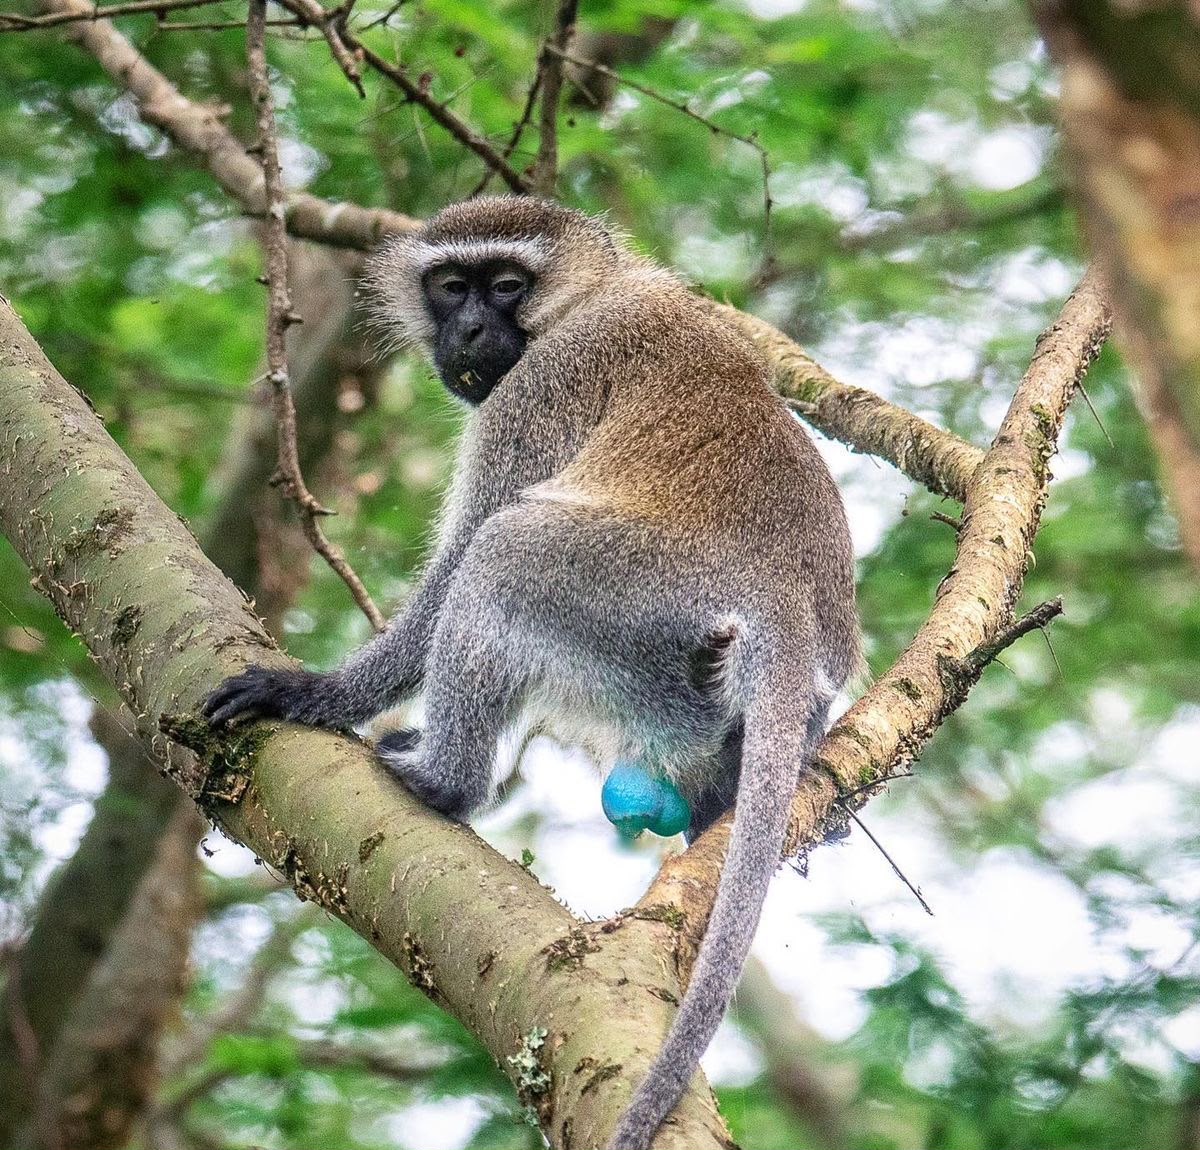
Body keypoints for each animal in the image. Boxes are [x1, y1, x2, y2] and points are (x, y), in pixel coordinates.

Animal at [203, 196, 857, 1150]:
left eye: (507, 284)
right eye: (451, 286)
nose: (472, 327)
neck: (589, 295)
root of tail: (788, 609)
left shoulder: (542, 386)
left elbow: (464, 553)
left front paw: (318, 695)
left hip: (629, 589)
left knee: (503, 553)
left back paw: (446, 782)